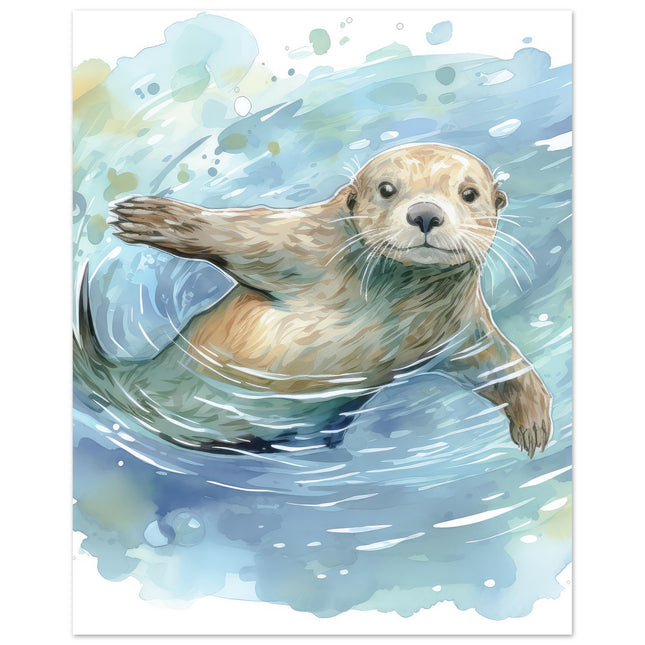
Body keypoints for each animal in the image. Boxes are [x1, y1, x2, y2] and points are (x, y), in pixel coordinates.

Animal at [73, 143, 552, 457]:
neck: (386, 307)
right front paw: (161, 219)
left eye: (469, 193)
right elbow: (238, 231)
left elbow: (501, 363)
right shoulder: (298, 242)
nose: (426, 213)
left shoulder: (461, 330)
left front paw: (533, 418)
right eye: (387, 189)